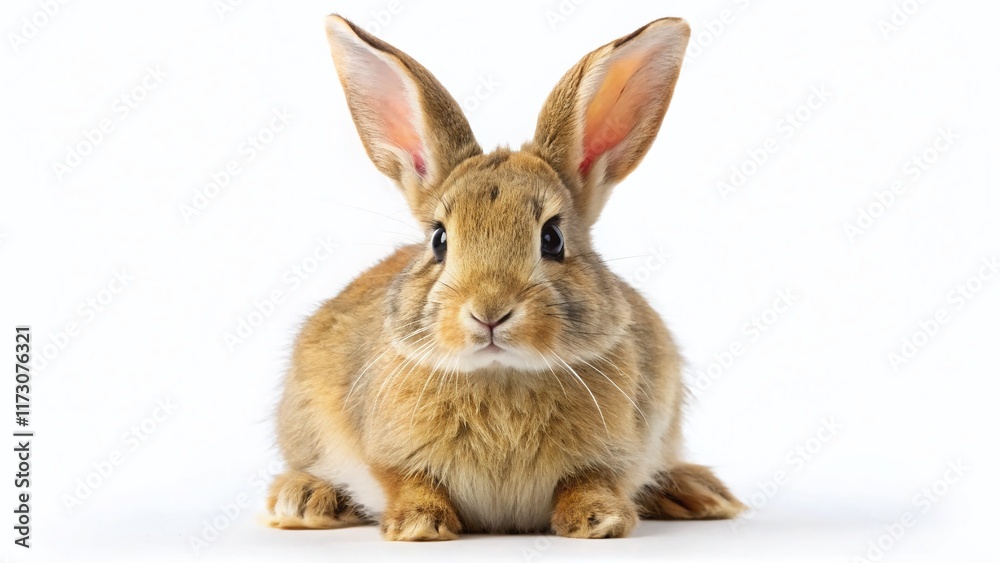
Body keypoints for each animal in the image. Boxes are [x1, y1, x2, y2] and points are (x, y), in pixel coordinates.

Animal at [265, 14, 745, 540]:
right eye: (439, 240)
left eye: (552, 239)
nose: (489, 312)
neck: (501, 374)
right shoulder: (388, 454)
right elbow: (407, 481)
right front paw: (419, 525)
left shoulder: (615, 452)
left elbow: (590, 480)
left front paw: (599, 520)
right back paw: (304, 501)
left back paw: (700, 493)